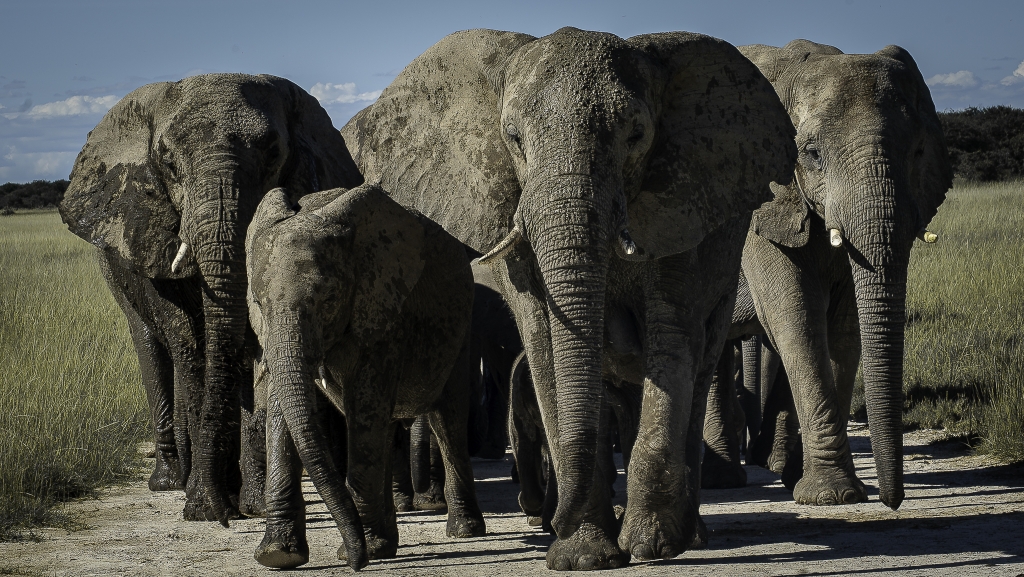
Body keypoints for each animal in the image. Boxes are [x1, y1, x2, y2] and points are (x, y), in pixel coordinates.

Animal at [58, 73, 364, 523]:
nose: (221, 513)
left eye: (274, 153)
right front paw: (203, 507)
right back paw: (170, 482)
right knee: (154, 347)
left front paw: (249, 506)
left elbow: (248, 341)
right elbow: (190, 338)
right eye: (168, 164)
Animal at [245, 184, 485, 570]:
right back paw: (388, 541)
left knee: (446, 420)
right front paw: (279, 555)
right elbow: (282, 410)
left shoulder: (385, 312)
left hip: (460, 331)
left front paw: (363, 552)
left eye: (329, 300)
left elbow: (365, 403)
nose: (355, 564)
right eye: (258, 302)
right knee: (385, 428)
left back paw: (463, 531)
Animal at [341, 27, 796, 569]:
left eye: (636, 135)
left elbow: (671, 344)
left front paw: (649, 546)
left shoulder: (682, 210)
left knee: (698, 366)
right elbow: (544, 348)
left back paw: (691, 536)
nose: (546, 520)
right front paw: (585, 555)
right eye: (513, 138)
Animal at [702, 40, 952, 509]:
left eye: (918, 152)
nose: (893, 500)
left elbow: (844, 328)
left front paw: (824, 488)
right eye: (813, 155)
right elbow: (796, 318)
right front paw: (832, 496)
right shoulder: (762, 208)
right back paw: (721, 480)